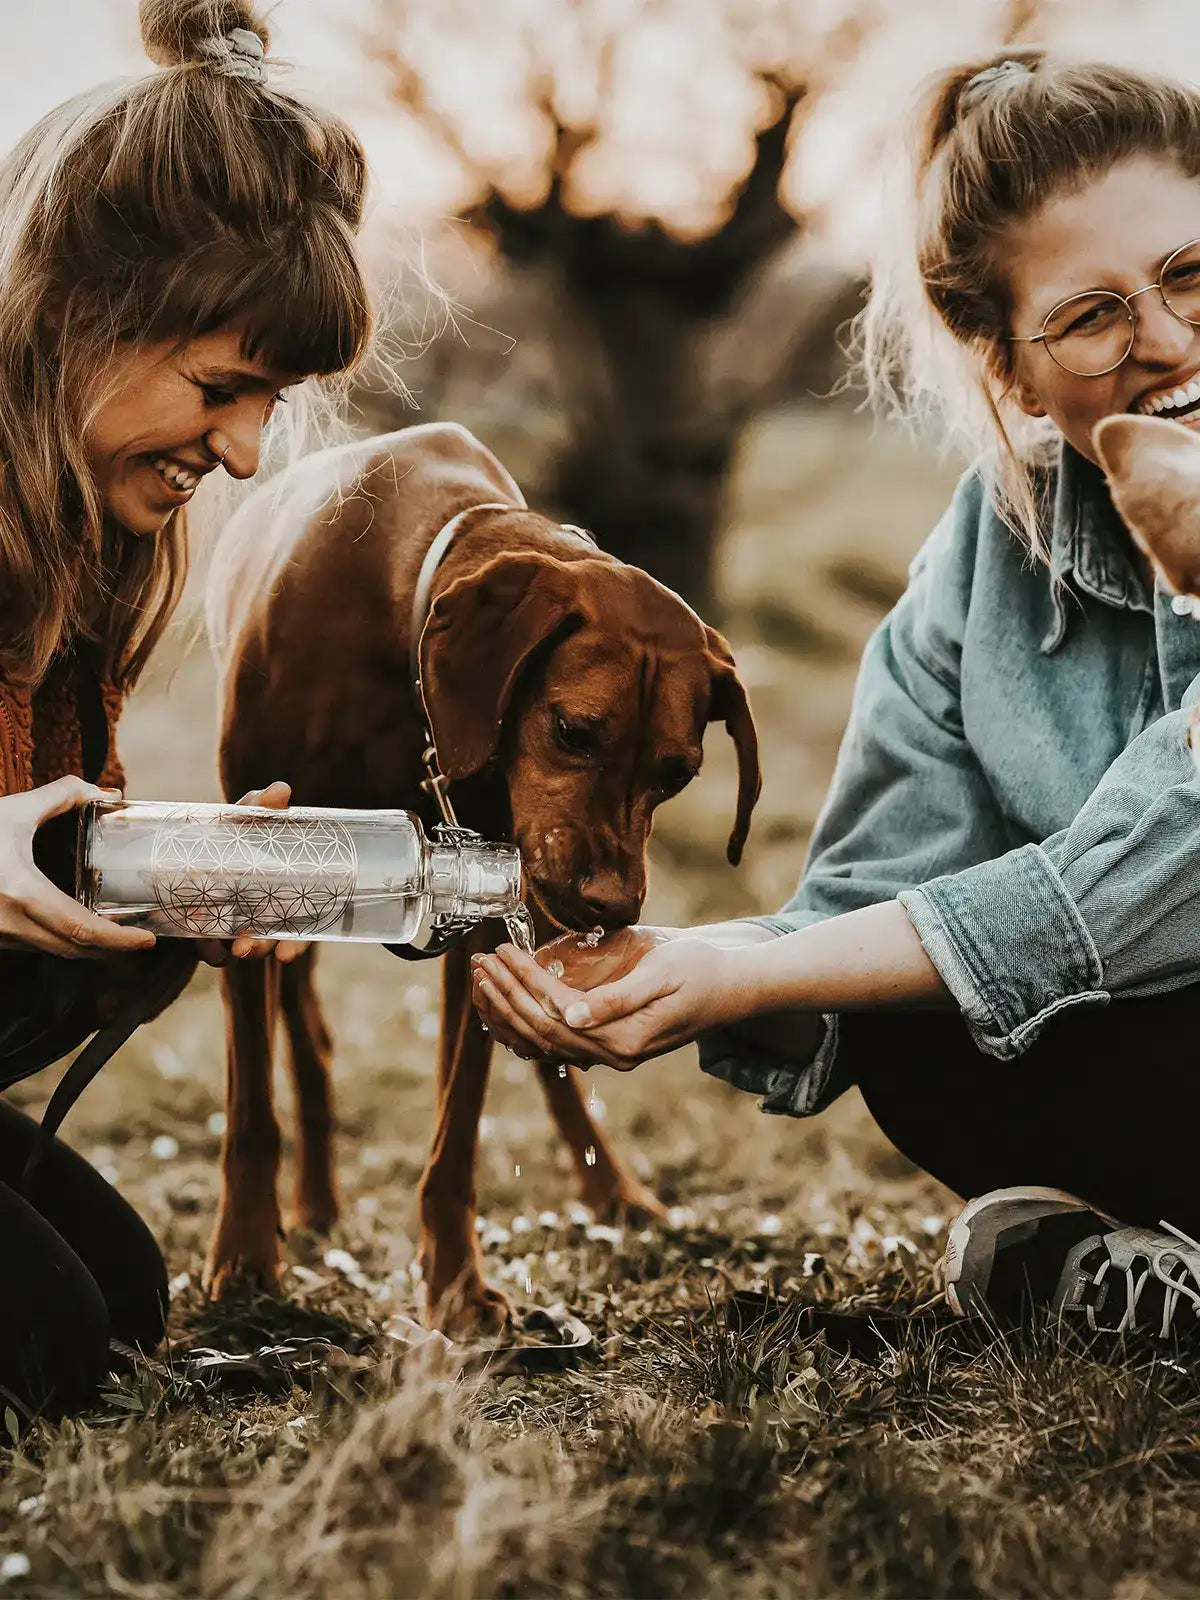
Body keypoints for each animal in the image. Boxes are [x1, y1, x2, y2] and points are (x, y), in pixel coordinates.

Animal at [200, 419, 755, 1331]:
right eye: (572, 730)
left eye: (677, 774)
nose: (614, 904)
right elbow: (251, 1107)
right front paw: (246, 1257)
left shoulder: (483, 901)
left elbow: (457, 1130)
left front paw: (456, 1285)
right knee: (305, 1036)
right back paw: (311, 1202)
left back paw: (613, 1191)